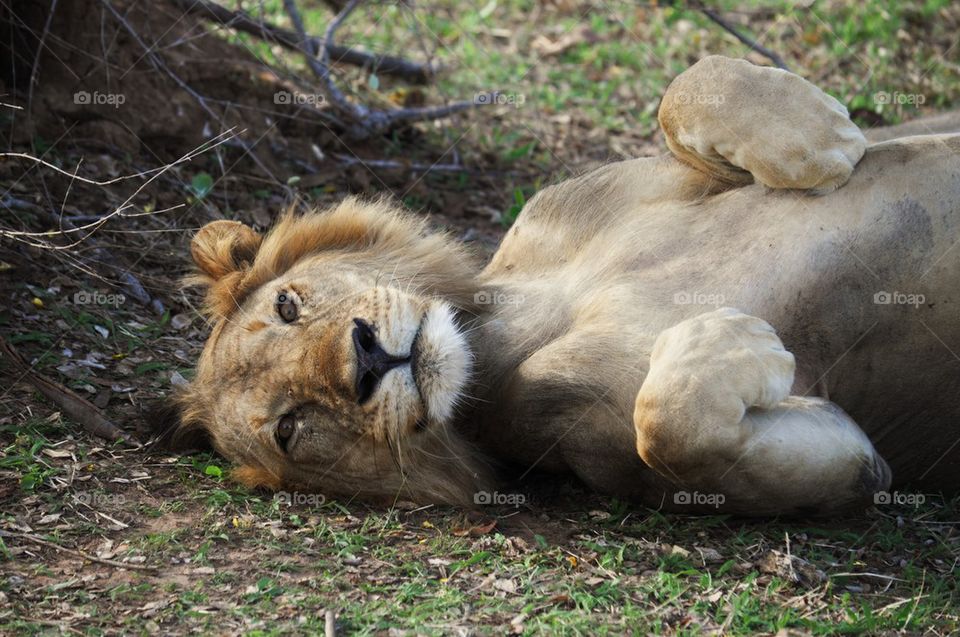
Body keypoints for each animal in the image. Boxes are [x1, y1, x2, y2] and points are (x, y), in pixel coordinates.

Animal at [153, 56, 960, 515]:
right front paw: (734, 341)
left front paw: (825, 138)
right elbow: (670, 422)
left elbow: (688, 84)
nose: (366, 357)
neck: (510, 327)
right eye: (290, 427)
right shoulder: (842, 466)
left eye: (289, 304)